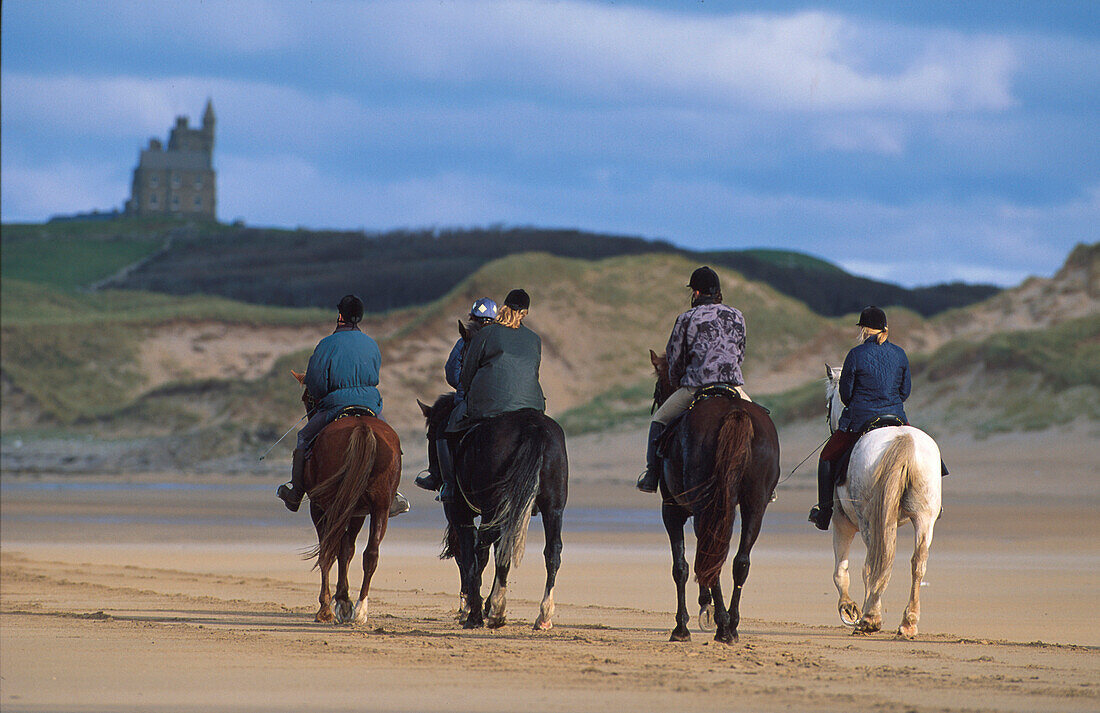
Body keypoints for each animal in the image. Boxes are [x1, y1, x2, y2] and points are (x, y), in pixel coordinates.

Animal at [292, 374, 400, 624]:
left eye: (307, 397)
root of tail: (362, 427)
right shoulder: (358, 511)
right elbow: (347, 550)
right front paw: (344, 600)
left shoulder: (320, 509)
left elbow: (331, 550)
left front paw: (331, 605)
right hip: (380, 506)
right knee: (371, 553)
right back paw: (360, 609)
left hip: (331, 506)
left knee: (328, 550)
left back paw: (333, 607)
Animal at [413, 396, 567, 629]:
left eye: (430, 435)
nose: (433, 475)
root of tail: (533, 426)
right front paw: (489, 605)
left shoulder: (459, 513)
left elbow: (468, 554)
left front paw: (470, 606)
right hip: (553, 508)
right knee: (551, 551)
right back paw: (541, 615)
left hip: (491, 507)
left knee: (482, 549)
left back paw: (476, 613)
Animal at [651, 349, 783, 646]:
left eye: (659, 387)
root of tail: (734, 411)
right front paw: (705, 607)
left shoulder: (671, 510)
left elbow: (681, 566)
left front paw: (682, 626)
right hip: (753, 505)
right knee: (739, 561)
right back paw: (731, 624)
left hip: (704, 506)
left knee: (712, 558)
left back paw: (721, 625)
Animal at [822, 365, 941, 638]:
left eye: (828, 402)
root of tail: (903, 440)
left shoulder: (842, 522)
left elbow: (841, 570)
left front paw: (848, 608)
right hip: (924, 517)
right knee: (917, 562)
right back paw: (908, 622)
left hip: (869, 520)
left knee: (872, 563)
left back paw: (870, 618)